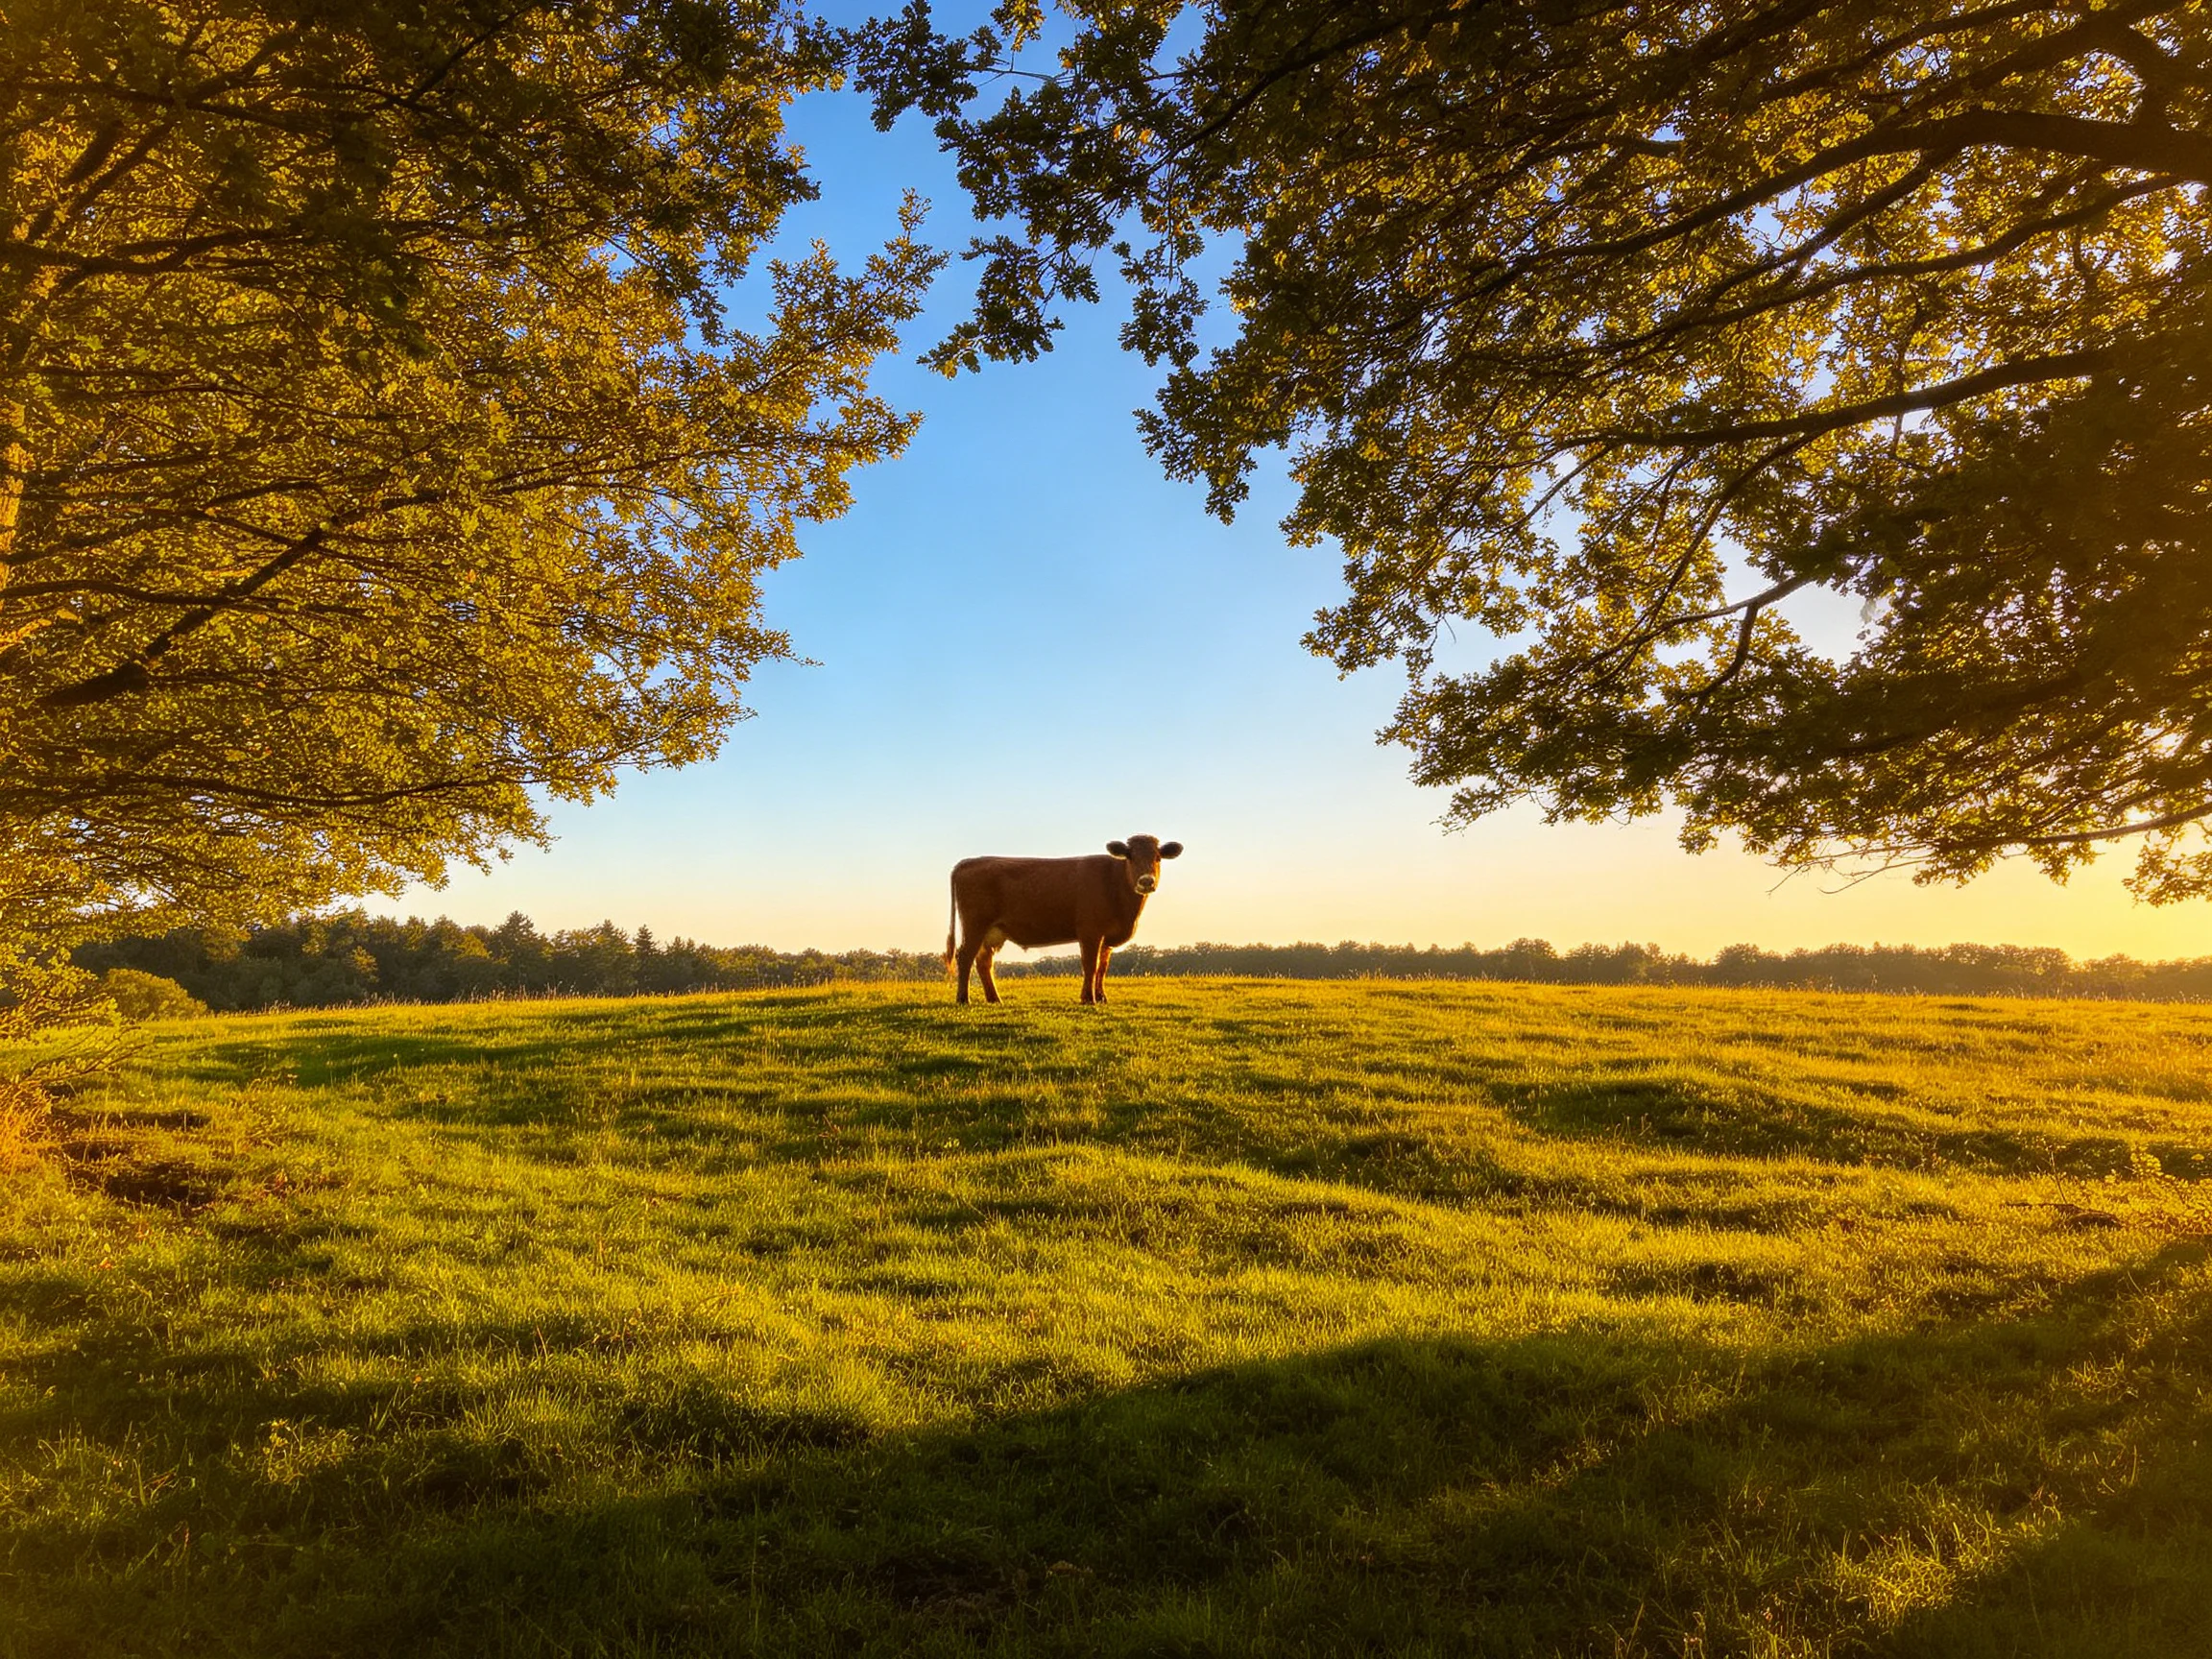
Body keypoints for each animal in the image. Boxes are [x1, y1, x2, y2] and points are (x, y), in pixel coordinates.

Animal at [944, 835, 1184, 1005]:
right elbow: (1090, 965)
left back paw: (994, 999)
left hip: (993, 932)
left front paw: (1101, 997)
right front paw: (1088, 999)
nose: (1146, 881)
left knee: (984, 961)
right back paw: (963, 999)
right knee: (965, 957)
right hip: (975, 925)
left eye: (1158, 857)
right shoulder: (1090, 932)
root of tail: (969, 861)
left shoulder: (1106, 938)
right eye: (1130, 856)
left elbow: (1102, 967)